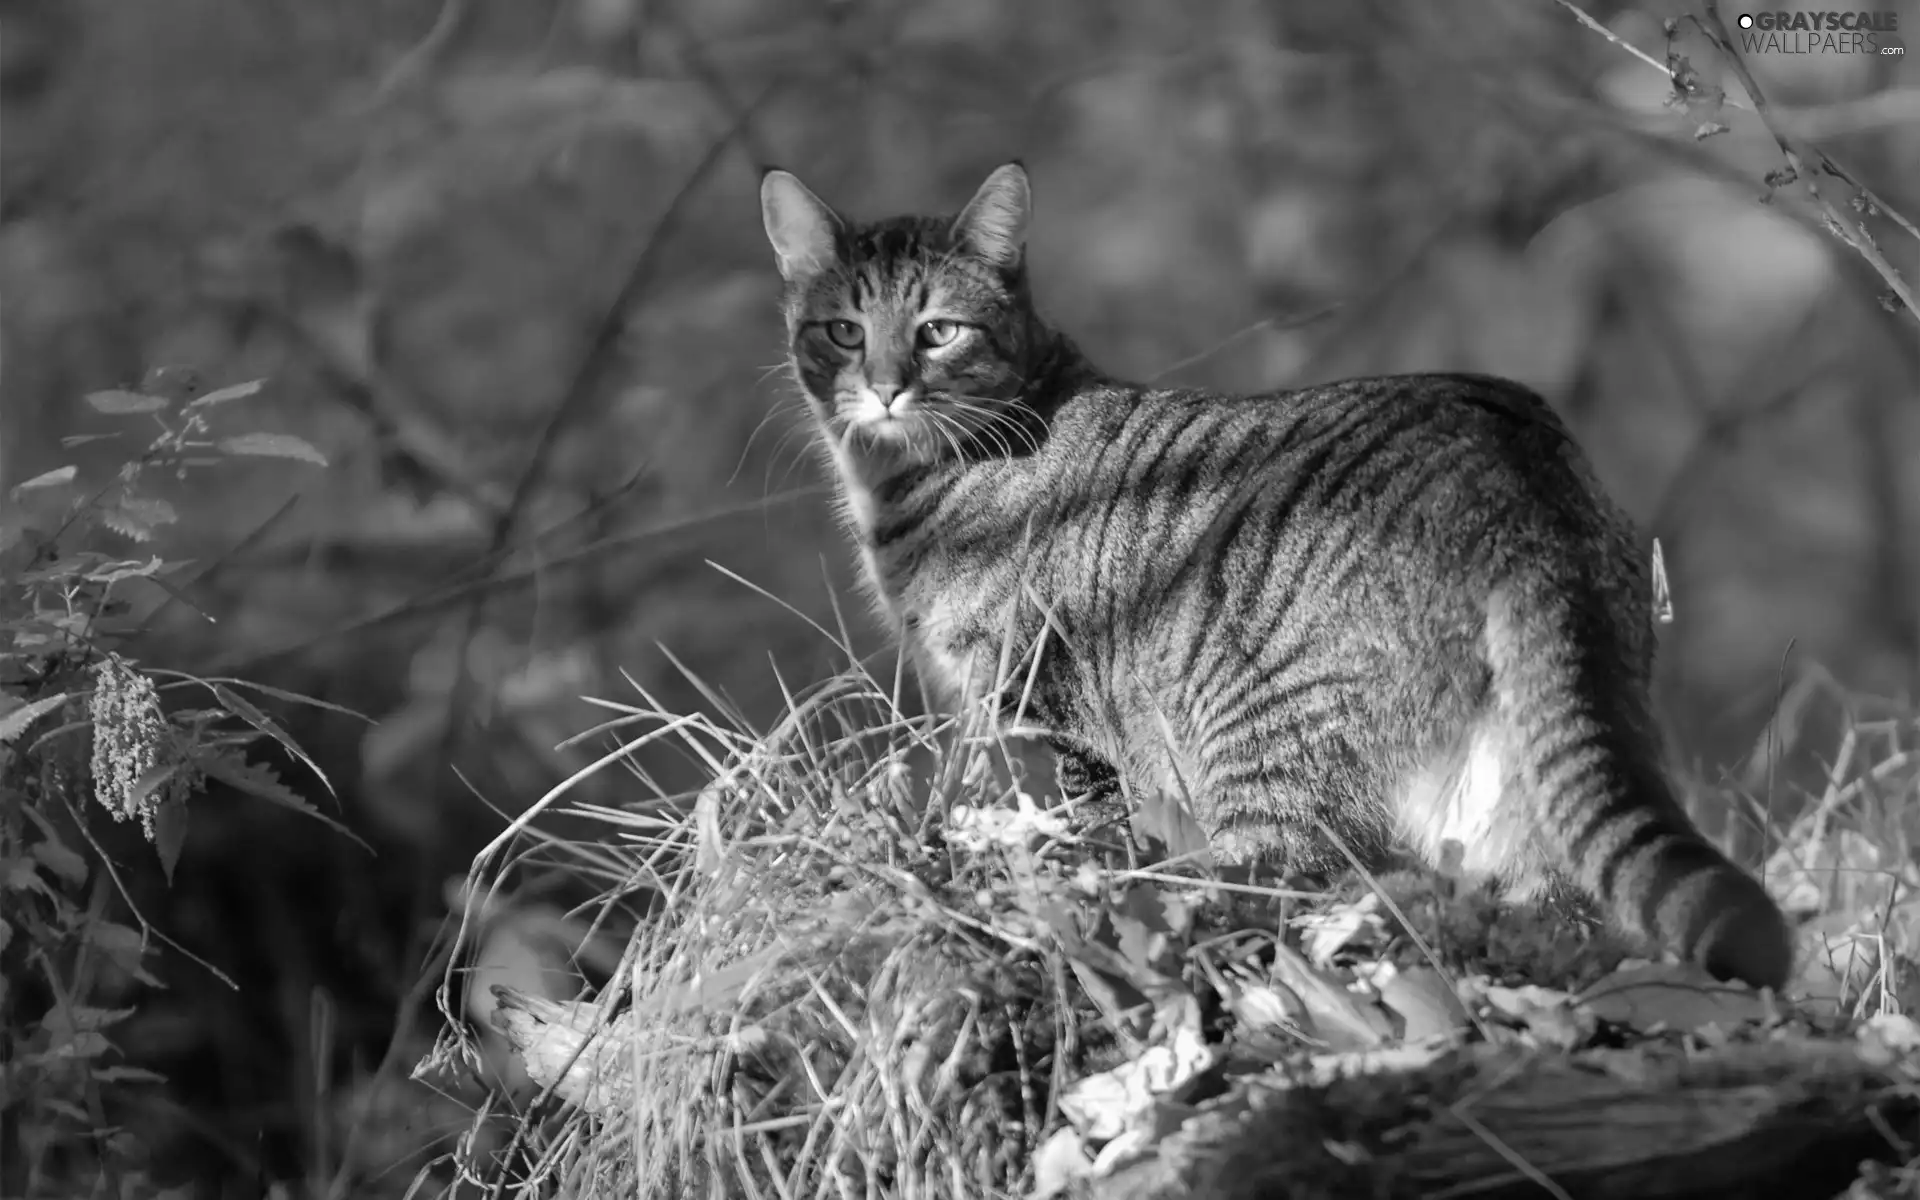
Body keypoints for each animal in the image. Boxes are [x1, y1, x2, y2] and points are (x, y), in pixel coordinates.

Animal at [756, 161, 1789, 990]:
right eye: (843, 331)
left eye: (937, 331)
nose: (885, 385)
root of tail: (1519, 470)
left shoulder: (1040, 710)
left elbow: (1065, 820)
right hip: (1515, 784)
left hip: (1261, 739)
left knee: (1283, 880)